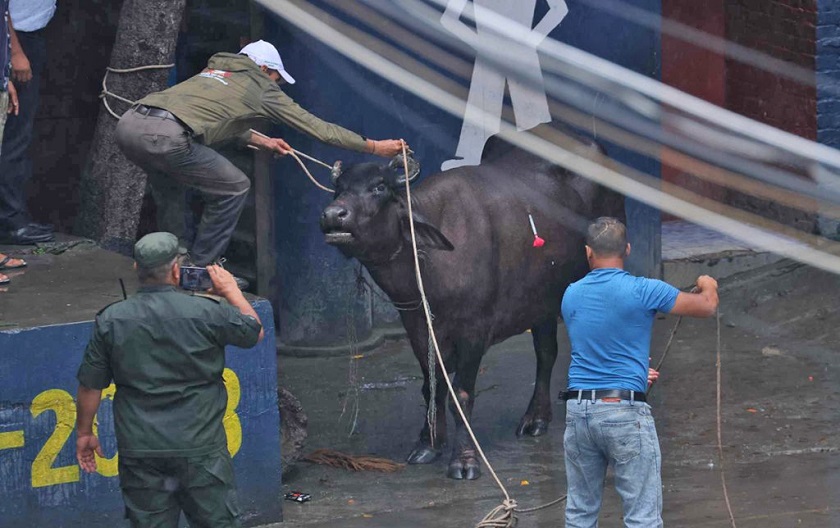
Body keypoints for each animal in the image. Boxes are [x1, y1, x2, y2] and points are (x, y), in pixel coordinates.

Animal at [320, 136, 624, 478]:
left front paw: (464, 460)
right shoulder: (417, 326)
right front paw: (428, 444)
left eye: (379, 187)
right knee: (546, 353)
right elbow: (433, 386)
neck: (430, 264)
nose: (333, 215)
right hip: (542, 299)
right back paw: (535, 418)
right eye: (338, 189)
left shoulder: (474, 331)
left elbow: (461, 396)